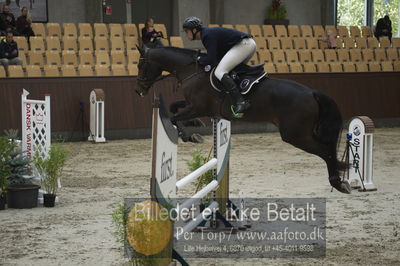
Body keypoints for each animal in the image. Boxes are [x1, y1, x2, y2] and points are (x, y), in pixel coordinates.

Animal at [135, 45, 350, 194]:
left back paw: (337, 181)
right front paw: (195, 126)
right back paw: (342, 174)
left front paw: (191, 136)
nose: (138, 91)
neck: (191, 70)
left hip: (295, 135)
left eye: (140, 65)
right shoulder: (195, 106)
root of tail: (312, 93)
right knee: (328, 148)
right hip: (303, 133)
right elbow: (173, 107)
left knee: (325, 151)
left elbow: (173, 117)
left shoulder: (198, 107)